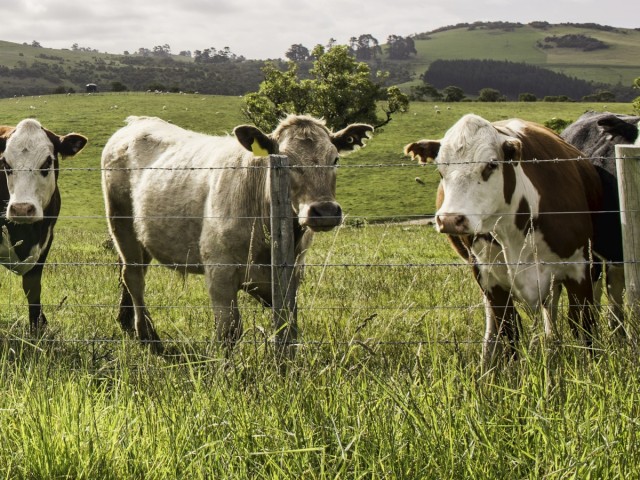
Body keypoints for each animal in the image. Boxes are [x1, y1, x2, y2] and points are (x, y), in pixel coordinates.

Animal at [0, 118, 87, 332]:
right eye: (5, 163)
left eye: (47, 162)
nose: (21, 209)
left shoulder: (46, 239)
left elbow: (32, 287)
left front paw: (38, 324)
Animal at [99, 114, 370, 354]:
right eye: (287, 162)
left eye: (335, 159)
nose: (325, 211)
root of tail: (137, 122)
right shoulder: (220, 272)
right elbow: (229, 331)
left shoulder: (293, 273)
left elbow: (287, 325)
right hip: (121, 224)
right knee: (133, 276)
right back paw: (148, 336)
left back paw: (126, 322)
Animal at [404, 114, 616, 370]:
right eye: (441, 170)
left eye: (491, 165)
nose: (450, 220)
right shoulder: (491, 280)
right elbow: (509, 331)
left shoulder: (579, 269)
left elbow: (583, 327)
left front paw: (591, 368)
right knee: (496, 325)